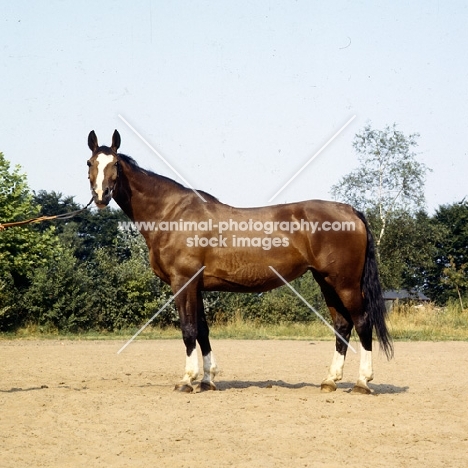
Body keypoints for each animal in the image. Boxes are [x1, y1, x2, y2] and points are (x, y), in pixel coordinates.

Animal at [87, 129, 392, 394]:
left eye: (116, 164)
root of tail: (350, 210)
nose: (101, 196)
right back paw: (330, 380)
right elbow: (203, 331)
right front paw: (207, 380)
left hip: (346, 283)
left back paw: (362, 382)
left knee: (362, 322)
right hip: (326, 281)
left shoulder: (183, 282)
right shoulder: (197, 286)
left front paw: (187, 380)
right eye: (90, 162)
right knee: (342, 325)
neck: (171, 214)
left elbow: (188, 330)